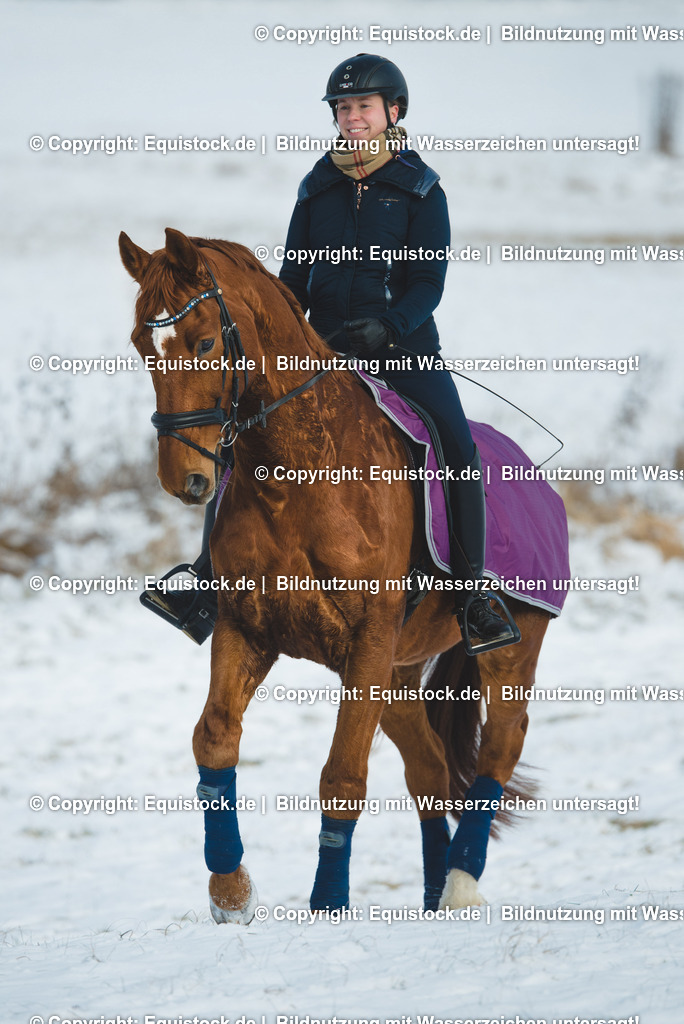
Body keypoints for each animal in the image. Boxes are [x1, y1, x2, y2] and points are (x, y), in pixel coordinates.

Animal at [119, 227, 563, 923]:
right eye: (143, 345)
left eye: (206, 343)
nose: (182, 478)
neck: (295, 476)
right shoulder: (249, 631)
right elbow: (214, 739)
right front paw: (230, 893)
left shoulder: (368, 642)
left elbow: (343, 775)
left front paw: (328, 903)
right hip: (400, 672)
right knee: (429, 769)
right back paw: (433, 893)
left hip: (508, 647)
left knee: (499, 745)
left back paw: (461, 885)